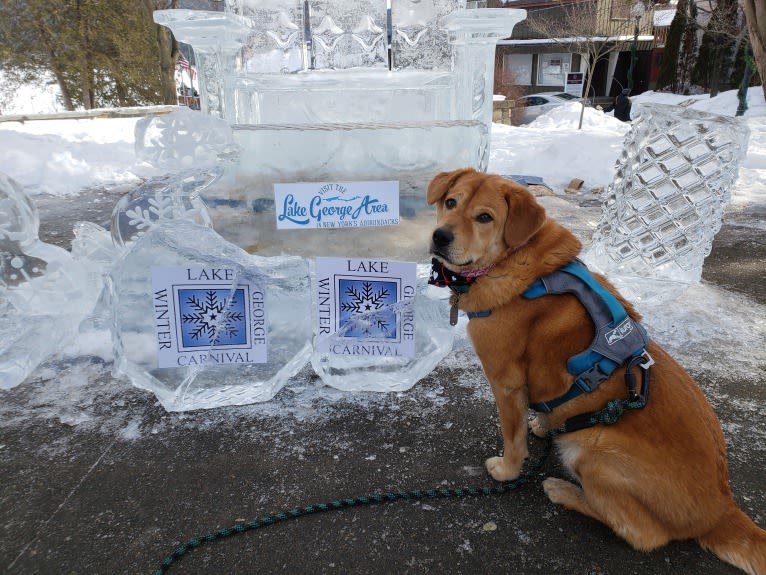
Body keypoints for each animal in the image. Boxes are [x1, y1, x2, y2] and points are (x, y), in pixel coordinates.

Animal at [428, 168, 764, 575]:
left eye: (484, 217)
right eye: (451, 202)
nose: (440, 236)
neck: (516, 265)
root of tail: (721, 509)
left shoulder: (505, 383)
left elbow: (513, 438)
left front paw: (507, 469)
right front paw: (544, 423)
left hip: (594, 453)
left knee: (643, 534)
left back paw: (564, 491)